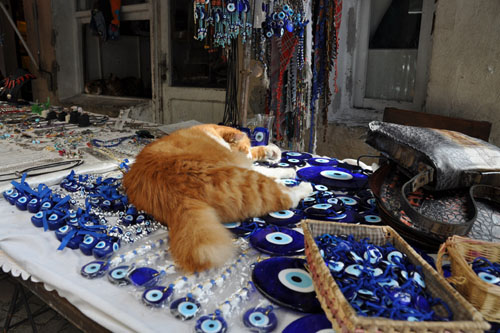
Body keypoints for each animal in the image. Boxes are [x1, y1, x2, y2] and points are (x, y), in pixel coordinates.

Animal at [123, 124, 310, 272]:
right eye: (242, 149)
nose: (248, 157)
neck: (210, 132)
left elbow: (260, 153)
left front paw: (272, 151)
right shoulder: (240, 162)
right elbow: (266, 169)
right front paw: (285, 168)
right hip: (244, 178)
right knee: (286, 196)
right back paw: (303, 186)